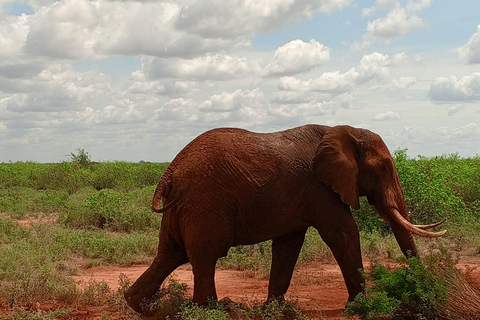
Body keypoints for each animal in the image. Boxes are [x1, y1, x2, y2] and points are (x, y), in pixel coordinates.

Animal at [124, 124, 446, 314]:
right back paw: (214, 310)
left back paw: (147, 306)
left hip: (183, 207)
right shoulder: (319, 188)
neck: (347, 130)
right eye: (385, 167)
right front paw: (360, 308)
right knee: (205, 256)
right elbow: (343, 234)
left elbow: (289, 245)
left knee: (170, 254)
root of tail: (170, 171)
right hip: (204, 205)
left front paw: (275, 309)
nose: (422, 292)